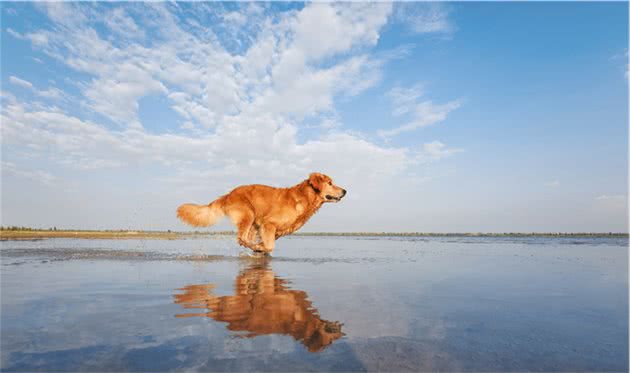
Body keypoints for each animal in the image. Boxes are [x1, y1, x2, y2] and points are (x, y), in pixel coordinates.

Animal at [177, 171, 346, 253]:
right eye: (330, 183)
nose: (345, 191)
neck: (304, 198)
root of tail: (228, 195)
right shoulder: (268, 223)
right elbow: (269, 246)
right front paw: (260, 248)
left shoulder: (277, 230)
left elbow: (268, 243)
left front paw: (260, 248)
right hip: (248, 214)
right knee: (241, 238)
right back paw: (254, 247)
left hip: (253, 222)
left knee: (245, 238)